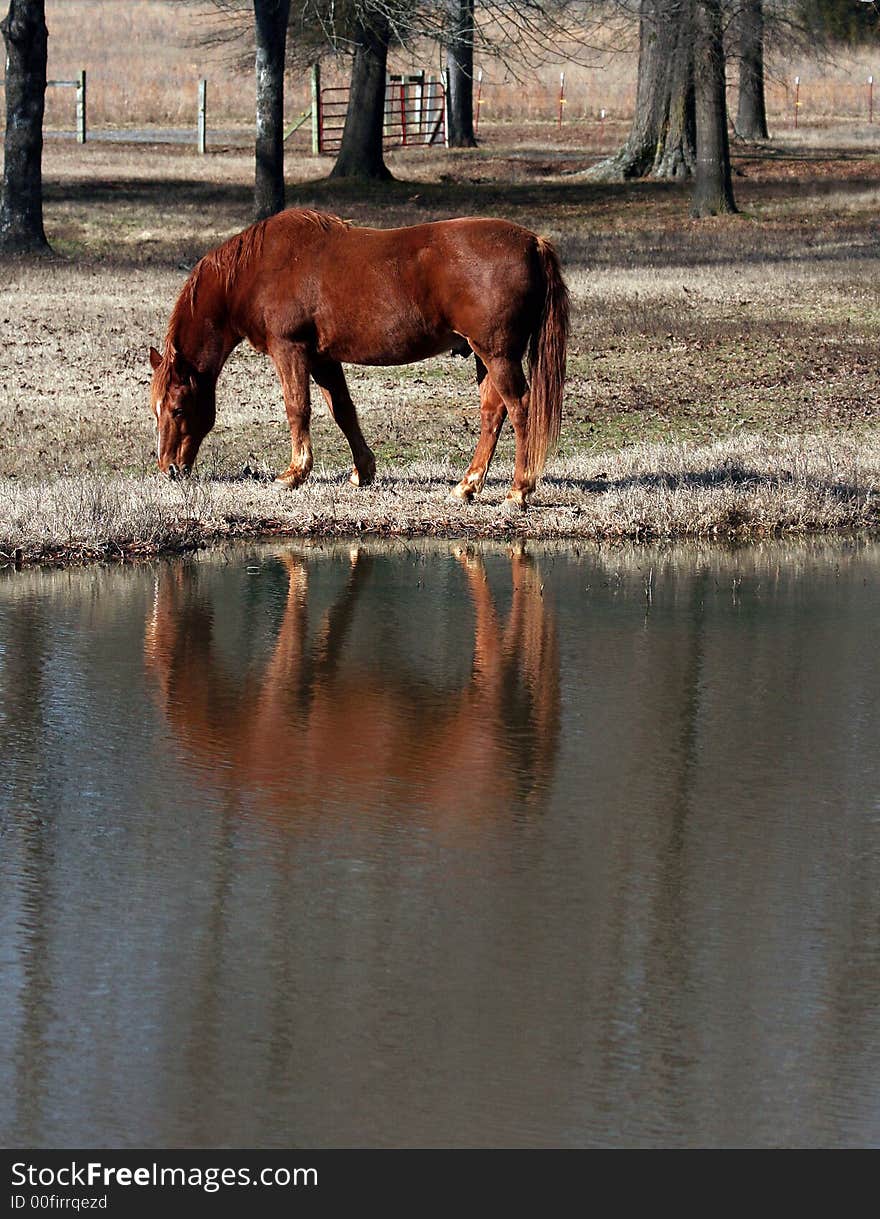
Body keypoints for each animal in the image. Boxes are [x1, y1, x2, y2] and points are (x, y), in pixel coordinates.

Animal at [147, 209, 565, 504]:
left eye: (178, 409)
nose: (169, 469)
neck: (261, 268)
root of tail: (533, 242)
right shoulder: (323, 358)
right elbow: (342, 410)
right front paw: (362, 472)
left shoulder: (290, 350)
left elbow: (297, 409)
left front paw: (292, 475)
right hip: (485, 356)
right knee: (493, 412)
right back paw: (467, 486)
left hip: (497, 354)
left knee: (520, 408)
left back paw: (518, 491)